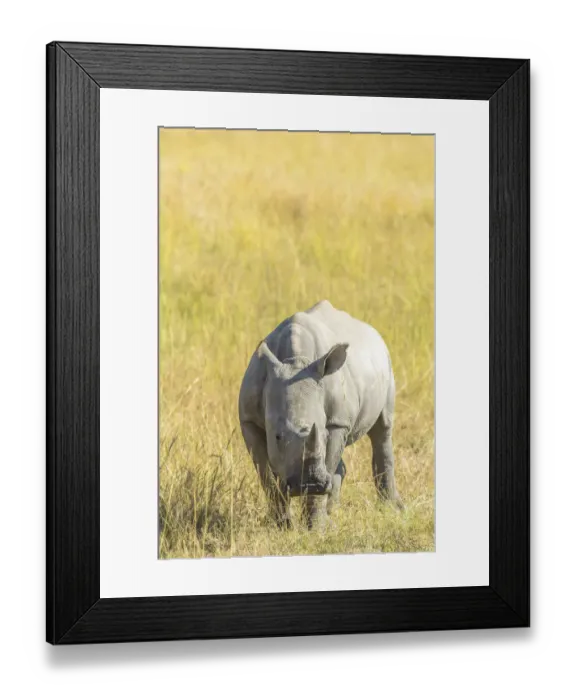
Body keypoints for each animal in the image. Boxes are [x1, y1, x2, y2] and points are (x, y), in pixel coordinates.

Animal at [239, 300, 402, 528]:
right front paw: (281, 525)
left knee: (382, 429)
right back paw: (334, 512)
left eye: (323, 435)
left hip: (386, 361)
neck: (295, 361)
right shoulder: (249, 421)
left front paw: (316, 528)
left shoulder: (336, 422)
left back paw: (392, 510)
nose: (310, 484)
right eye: (277, 437)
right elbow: (266, 477)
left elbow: (328, 460)